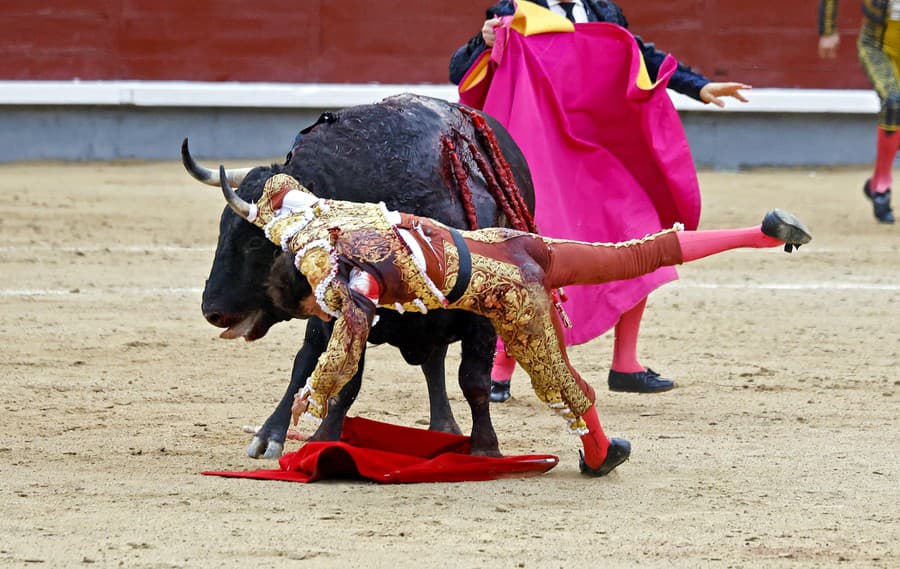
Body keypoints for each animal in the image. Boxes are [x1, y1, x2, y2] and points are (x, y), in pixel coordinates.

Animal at [183, 93, 536, 458]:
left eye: (255, 242)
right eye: (222, 229)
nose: (212, 311)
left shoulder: (483, 314)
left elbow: (473, 380)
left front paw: (485, 448)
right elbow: (344, 378)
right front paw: (323, 440)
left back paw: (444, 427)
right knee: (308, 358)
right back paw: (270, 435)